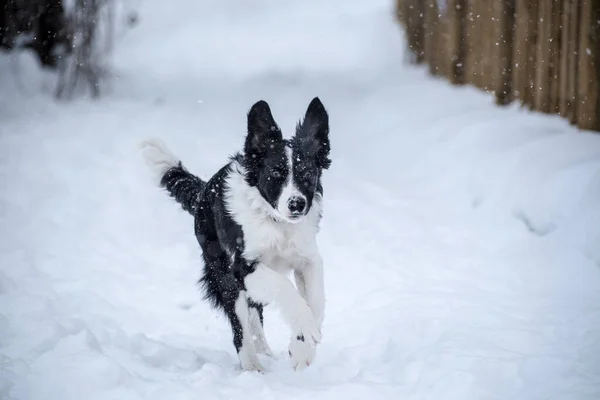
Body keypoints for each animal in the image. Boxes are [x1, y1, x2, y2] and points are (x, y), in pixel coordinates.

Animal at [140, 97, 330, 372]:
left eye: (307, 174)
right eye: (275, 174)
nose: (296, 204)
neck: (276, 222)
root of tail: (203, 193)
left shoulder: (308, 259)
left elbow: (316, 300)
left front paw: (303, 347)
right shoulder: (243, 267)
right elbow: (285, 288)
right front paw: (305, 331)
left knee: (254, 314)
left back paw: (265, 353)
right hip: (223, 274)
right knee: (240, 325)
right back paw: (252, 366)